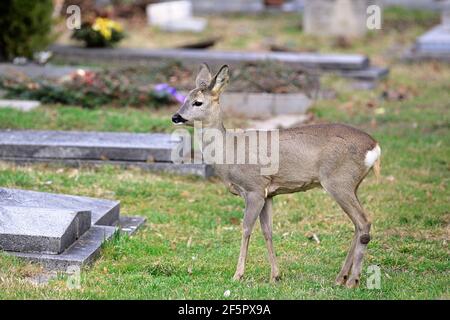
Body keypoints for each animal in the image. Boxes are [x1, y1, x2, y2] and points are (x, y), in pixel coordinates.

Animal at [171, 63, 380, 288]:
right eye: (184, 98)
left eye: (198, 102)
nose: (175, 117)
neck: (229, 152)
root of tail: (374, 146)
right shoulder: (268, 193)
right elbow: (268, 231)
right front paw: (275, 276)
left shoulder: (254, 188)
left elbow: (246, 228)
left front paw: (238, 275)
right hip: (352, 184)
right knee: (358, 225)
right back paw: (340, 277)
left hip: (338, 181)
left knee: (364, 222)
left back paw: (353, 280)